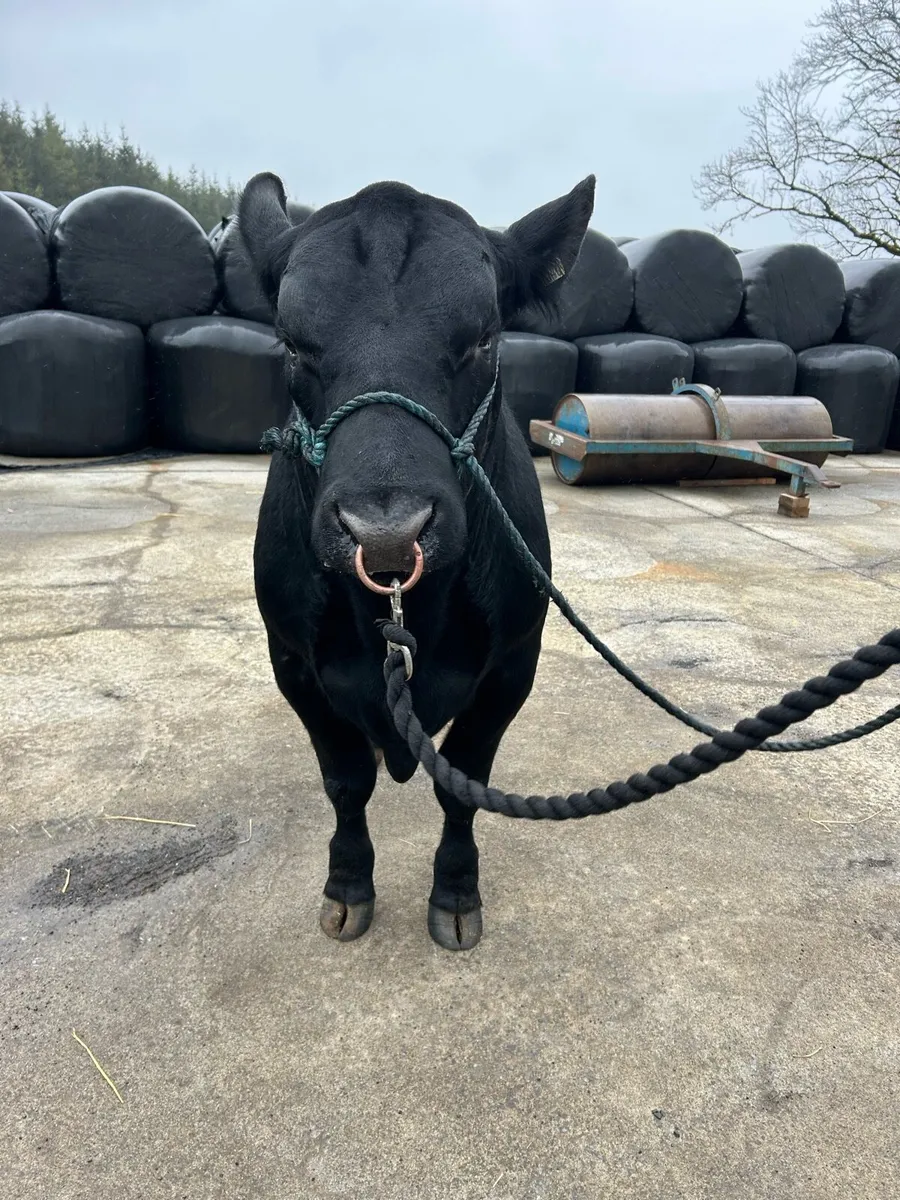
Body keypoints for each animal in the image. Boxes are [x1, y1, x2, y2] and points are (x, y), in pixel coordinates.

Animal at [239, 171, 595, 950]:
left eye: (485, 337)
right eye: (290, 343)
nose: (386, 531)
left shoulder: (513, 664)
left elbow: (462, 784)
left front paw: (456, 893)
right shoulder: (293, 663)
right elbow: (345, 783)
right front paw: (347, 888)